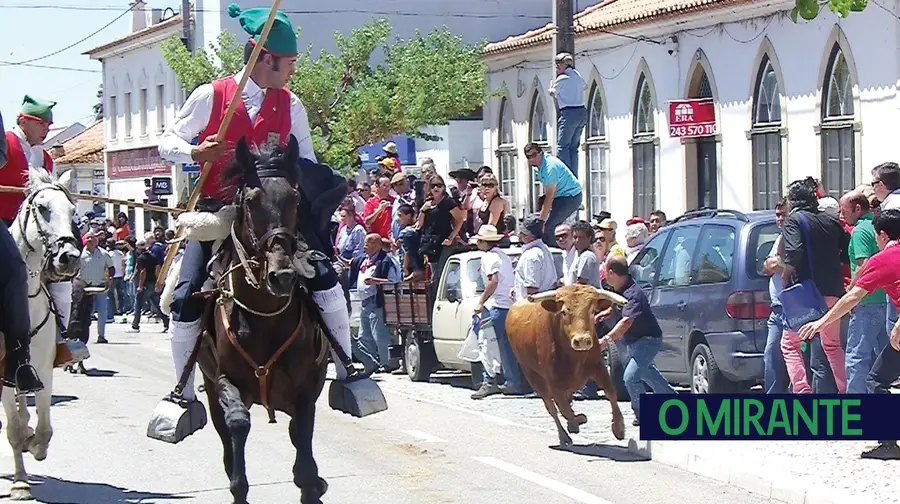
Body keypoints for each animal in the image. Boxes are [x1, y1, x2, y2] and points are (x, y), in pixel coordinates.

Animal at [199, 135, 332, 504]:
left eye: (295, 197)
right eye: (250, 201)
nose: (282, 276)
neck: (265, 318)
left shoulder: (306, 389)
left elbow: (304, 449)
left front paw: (312, 484)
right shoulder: (225, 380)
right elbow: (237, 422)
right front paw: (238, 485)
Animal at [506, 284, 624, 444]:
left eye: (593, 311)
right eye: (563, 312)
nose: (582, 340)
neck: (575, 358)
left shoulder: (598, 366)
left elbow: (611, 392)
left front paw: (619, 427)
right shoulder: (553, 383)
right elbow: (563, 409)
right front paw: (578, 420)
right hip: (532, 375)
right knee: (551, 407)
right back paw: (564, 436)